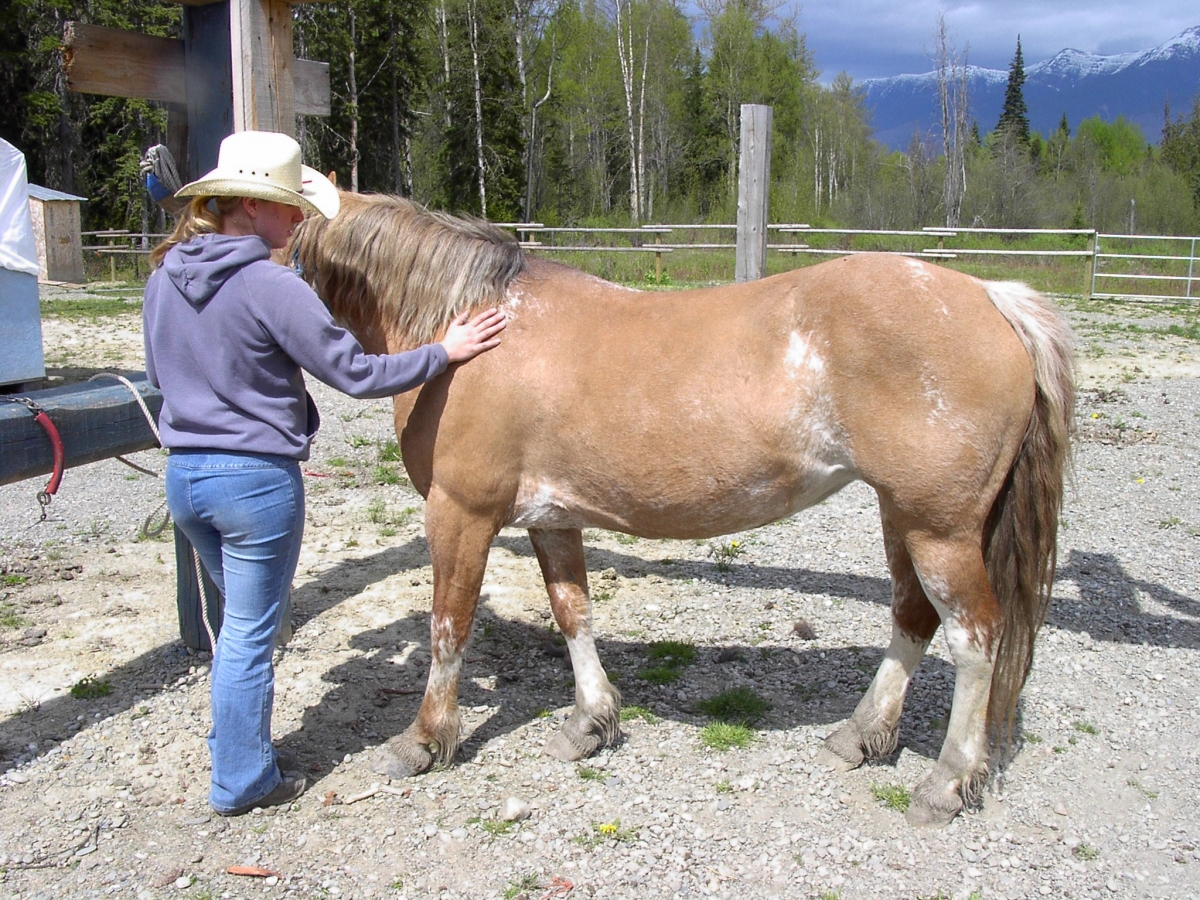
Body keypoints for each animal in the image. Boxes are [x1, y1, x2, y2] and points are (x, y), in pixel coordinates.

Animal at [289, 193, 1075, 827]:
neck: (471, 327)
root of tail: (993, 298)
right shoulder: (552, 518)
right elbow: (573, 613)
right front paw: (590, 724)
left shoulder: (461, 514)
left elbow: (448, 628)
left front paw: (422, 741)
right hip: (903, 518)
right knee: (913, 618)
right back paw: (859, 736)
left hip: (940, 530)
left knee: (975, 639)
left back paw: (945, 783)